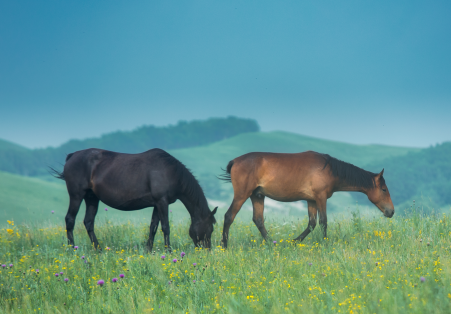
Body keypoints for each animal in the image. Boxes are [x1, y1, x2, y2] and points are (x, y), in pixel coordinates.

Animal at [51, 148, 217, 250]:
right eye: (210, 228)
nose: (207, 250)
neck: (171, 172)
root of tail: (72, 156)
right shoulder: (162, 202)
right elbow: (165, 227)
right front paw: (168, 251)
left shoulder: (157, 204)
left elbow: (153, 227)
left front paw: (149, 250)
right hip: (77, 196)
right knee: (70, 220)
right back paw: (72, 249)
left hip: (92, 198)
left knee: (88, 222)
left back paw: (98, 250)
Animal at [220, 150, 396, 248]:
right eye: (384, 189)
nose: (391, 211)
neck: (329, 169)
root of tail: (235, 161)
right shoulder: (321, 197)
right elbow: (323, 222)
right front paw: (325, 243)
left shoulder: (311, 200)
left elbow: (311, 224)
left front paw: (294, 242)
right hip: (242, 195)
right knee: (229, 216)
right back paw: (225, 245)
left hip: (257, 196)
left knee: (258, 220)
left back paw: (272, 243)